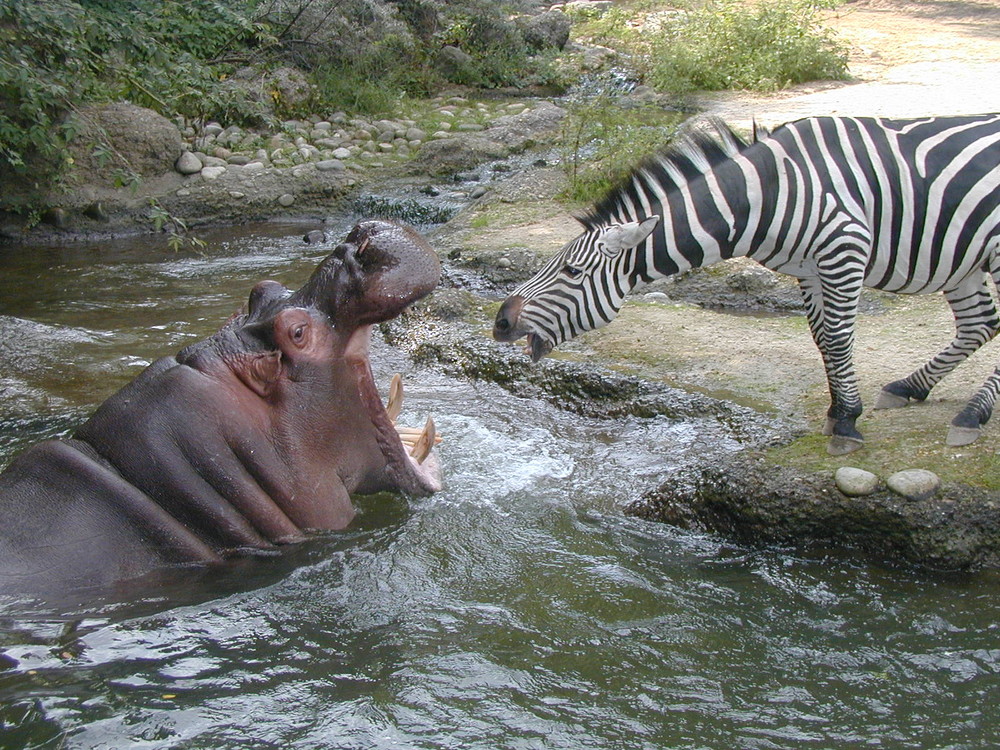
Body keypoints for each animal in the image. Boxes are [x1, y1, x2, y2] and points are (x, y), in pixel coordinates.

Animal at [494, 114, 1000, 456]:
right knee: (981, 324)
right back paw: (910, 388)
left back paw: (972, 414)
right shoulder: (808, 268)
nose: (499, 322)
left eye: (571, 273)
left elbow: (838, 339)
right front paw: (838, 412)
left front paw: (847, 424)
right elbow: (822, 340)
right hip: (964, 256)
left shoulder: (843, 247)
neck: (765, 195)